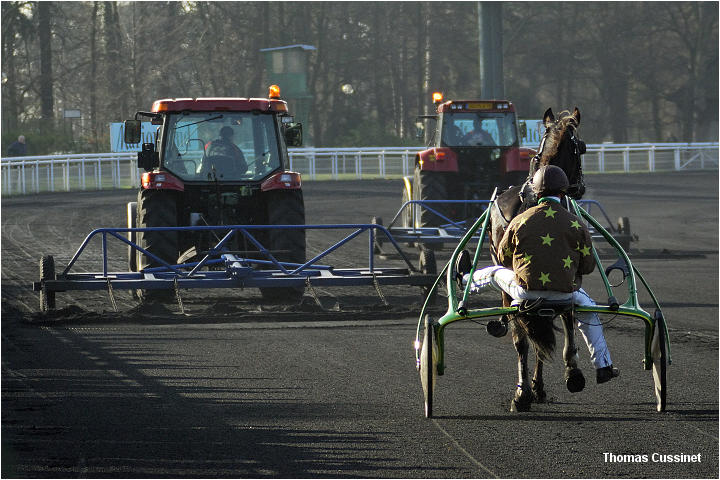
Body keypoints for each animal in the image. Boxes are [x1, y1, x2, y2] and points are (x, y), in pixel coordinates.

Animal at [486, 108, 588, 412]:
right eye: (582, 148)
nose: (581, 188)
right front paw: (569, 373)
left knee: (528, 335)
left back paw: (529, 390)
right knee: (526, 334)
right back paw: (525, 391)